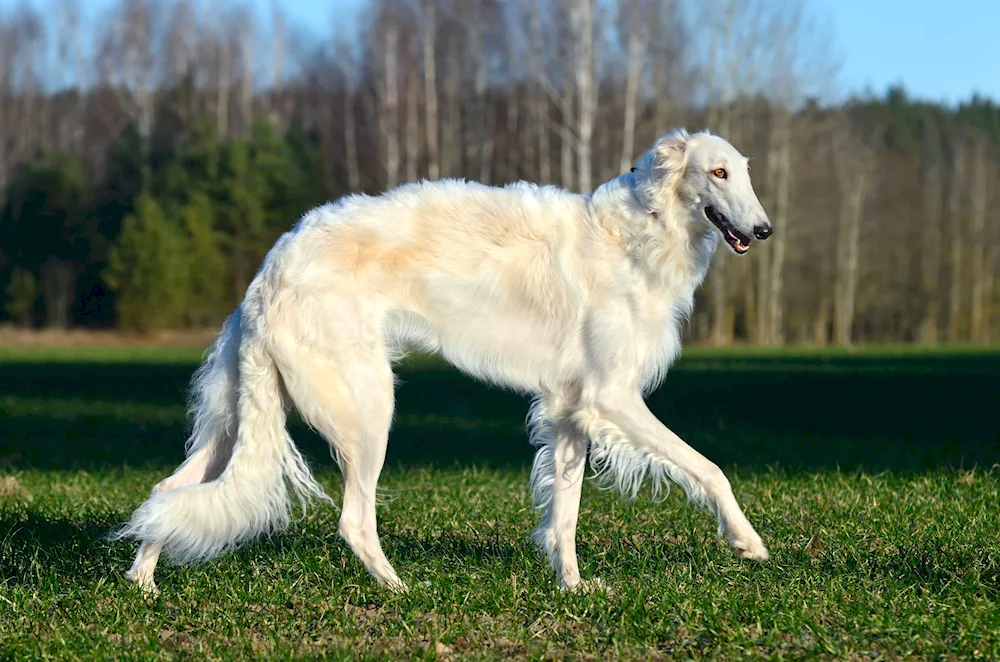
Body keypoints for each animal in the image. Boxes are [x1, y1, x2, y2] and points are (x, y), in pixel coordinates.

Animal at [115, 127, 772, 592]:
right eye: (717, 172)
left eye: (744, 171)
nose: (764, 229)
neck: (639, 234)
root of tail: (267, 276)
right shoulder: (612, 397)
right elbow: (711, 467)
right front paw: (748, 542)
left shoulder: (571, 407)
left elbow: (565, 515)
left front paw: (574, 587)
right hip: (367, 408)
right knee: (354, 520)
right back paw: (402, 589)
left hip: (236, 419)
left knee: (167, 492)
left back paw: (142, 581)